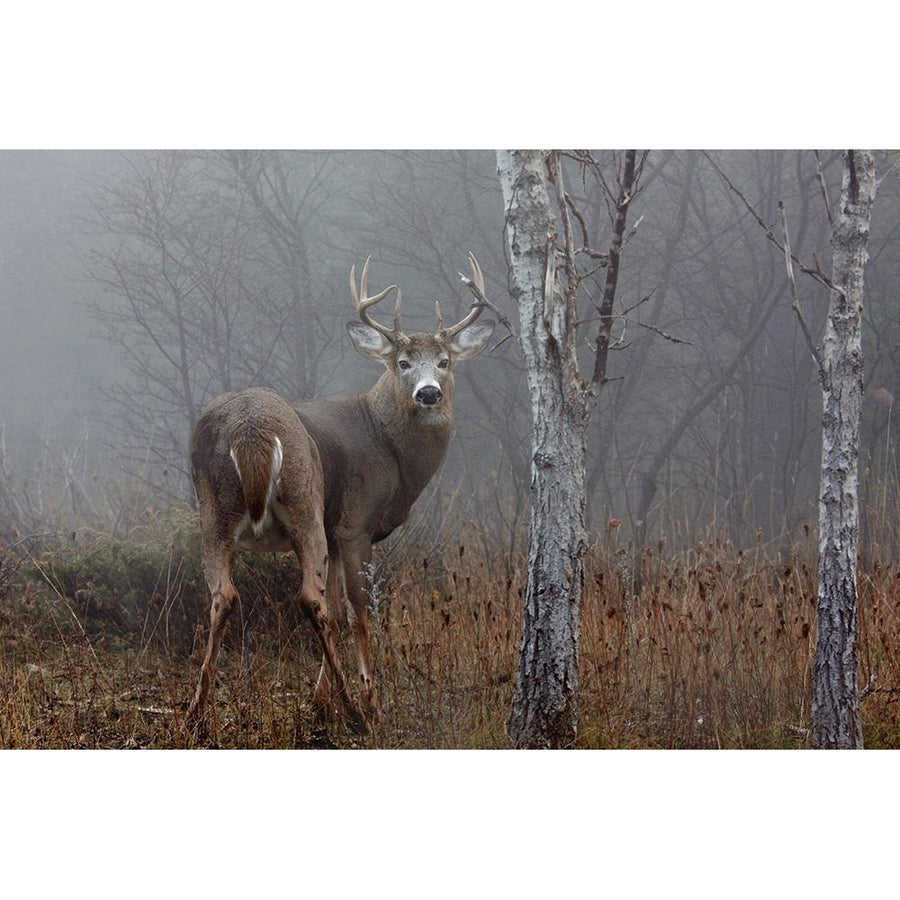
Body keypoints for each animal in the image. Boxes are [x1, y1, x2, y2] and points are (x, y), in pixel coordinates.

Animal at [184, 253, 492, 732]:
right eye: (402, 362)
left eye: (444, 361)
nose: (429, 393)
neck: (386, 445)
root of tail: (250, 429)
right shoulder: (353, 524)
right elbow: (358, 608)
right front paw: (367, 698)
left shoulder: (334, 533)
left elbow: (335, 605)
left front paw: (319, 699)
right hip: (304, 500)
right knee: (308, 598)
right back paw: (354, 707)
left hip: (214, 510)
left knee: (226, 596)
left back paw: (197, 711)